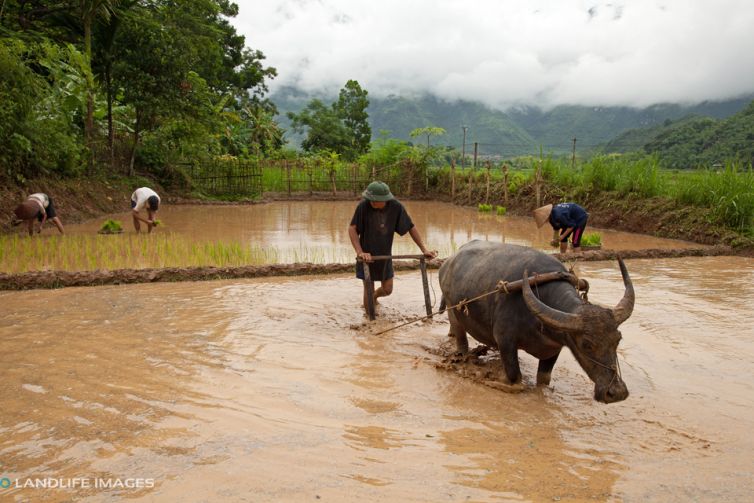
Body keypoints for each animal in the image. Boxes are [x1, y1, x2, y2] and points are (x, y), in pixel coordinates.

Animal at [438, 241, 632, 406]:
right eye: (587, 344)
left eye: (618, 340)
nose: (616, 392)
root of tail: (447, 264)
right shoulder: (506, 341)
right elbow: (514, 377)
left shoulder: (554, 348)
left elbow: (544, 380)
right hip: (452, 311)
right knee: (460, 337)